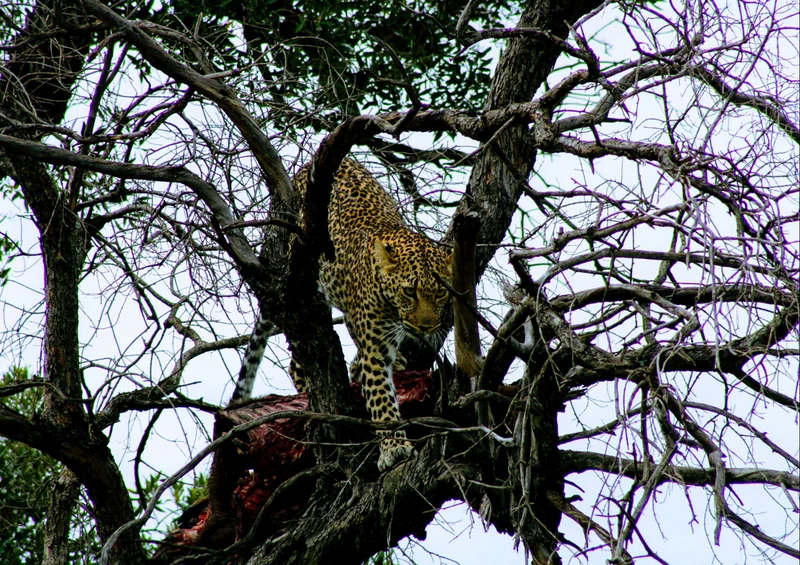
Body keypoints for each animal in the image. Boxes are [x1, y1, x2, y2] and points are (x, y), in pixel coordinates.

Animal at [231, 159, 452, 472]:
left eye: (442, 293)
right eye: (410, 291)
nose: (427, 327)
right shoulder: (375, 348)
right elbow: (382, 398)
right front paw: (394, 447)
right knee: (297, 359)